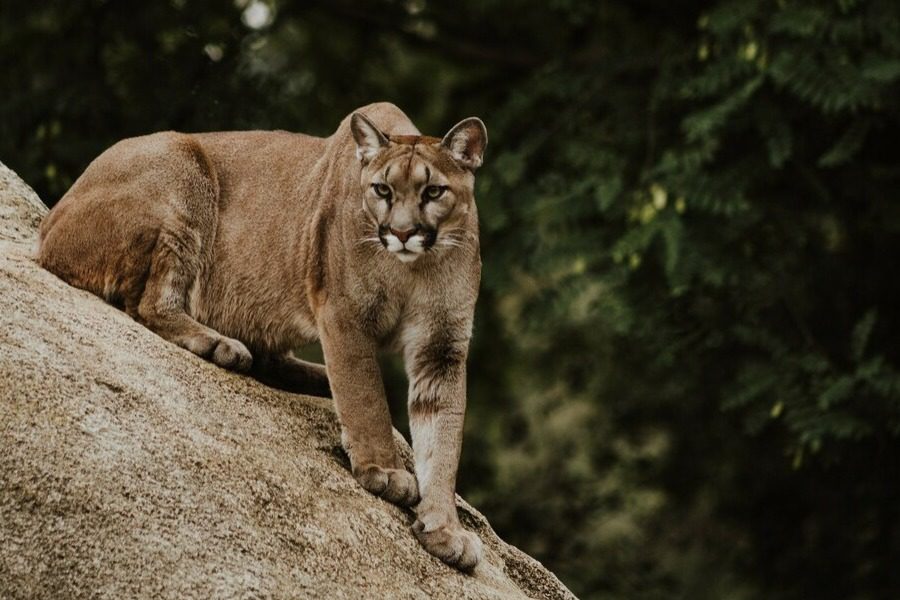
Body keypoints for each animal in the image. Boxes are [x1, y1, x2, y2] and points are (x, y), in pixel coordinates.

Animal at [37, 102, 486, 568]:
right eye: (381, 190)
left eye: (433, 192)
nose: (400, 233)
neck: (413, 268)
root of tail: (48, 225)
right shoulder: (345, 315)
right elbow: (366, 399)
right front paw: (386, 470)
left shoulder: (442, 348)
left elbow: (443, 440)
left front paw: (444, 529)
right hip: (183, 170)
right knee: (149, 303)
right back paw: (220, 345)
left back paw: (312, 376)